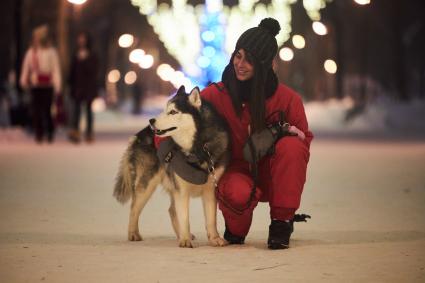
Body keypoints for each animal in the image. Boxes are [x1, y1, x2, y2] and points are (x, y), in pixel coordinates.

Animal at [113, 86, 229, 248]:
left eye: (173, 111)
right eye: (164, 109)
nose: (151, 120)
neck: (196, 148)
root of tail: (139, 134)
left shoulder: (210, 190)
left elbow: (211, 219)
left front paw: (214, 238)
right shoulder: (181, 190)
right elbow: (184, 217)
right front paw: (185, 240)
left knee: (171, 210)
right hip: (147, 185)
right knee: (134, 207)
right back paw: (133, 233)